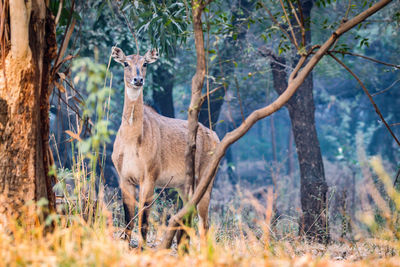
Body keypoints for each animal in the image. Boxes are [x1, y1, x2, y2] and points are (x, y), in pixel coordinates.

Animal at [111, 47, 220, 248]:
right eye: (125, 63)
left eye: (145, 63)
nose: (138, 80)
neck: (131, 140)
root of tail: (215, 136)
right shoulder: (124, 178)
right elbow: (128, 220)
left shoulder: (149, 177)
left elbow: (143, 219)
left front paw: (142, 249)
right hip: (184, 186)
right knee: (188, 217)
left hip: (206, 180)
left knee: (204, 223)